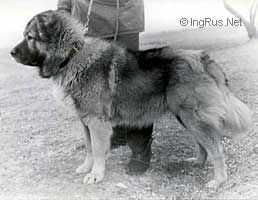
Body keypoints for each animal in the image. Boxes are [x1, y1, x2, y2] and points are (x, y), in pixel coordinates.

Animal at [11, 10, 251, 188]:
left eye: (30, 37)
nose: (11, 52)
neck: (71, 55)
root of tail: (203, 58)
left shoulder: (96, 122)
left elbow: (96, 149)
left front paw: (96, 174)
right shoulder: (85, 121)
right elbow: (89, 148)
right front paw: (87, 167)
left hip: (192, 117)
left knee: (216, 147)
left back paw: (218, 180)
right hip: (185, 117)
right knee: (203, 143)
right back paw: (198, 162)